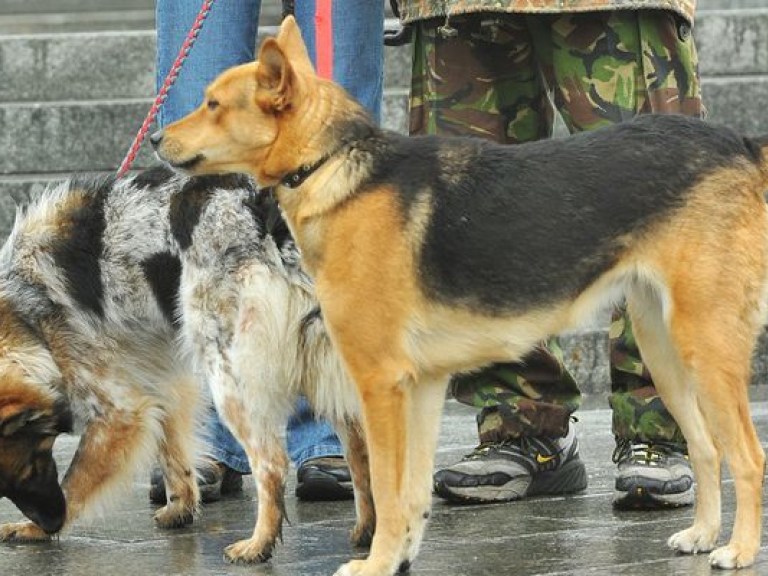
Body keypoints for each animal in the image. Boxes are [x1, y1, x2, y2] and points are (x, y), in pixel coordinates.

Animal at [153, 15, 768, 572]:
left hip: (705, 347)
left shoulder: (379, 385)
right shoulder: (422, 387)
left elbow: (385, 487)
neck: (333, 166)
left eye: (213, 104)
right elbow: (410, 495)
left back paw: (737, 550)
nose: (156, 137)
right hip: (666, 352)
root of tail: (739, 144)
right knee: (708, 448)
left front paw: (376, 563)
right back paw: (703, 535)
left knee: (747, 455)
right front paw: (399, 557)